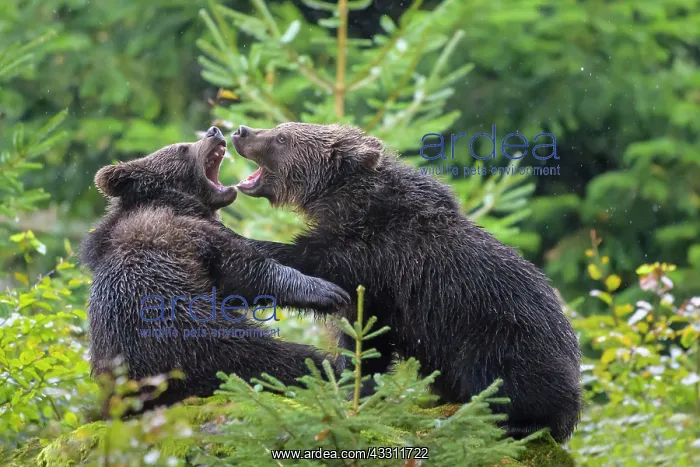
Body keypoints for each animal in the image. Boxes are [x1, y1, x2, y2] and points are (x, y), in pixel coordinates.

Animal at [80, 126, 350, 414]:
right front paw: (326, 291)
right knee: (267, 356)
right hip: (194, 335)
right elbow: (244, 269)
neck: (178, 202)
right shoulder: (182, 235)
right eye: (182, 148)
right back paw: (330, 368)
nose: (213, 130)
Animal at [230, 122, 582, 442]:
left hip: (503, 333)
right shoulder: (377, 290)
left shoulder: (373, 256)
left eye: (281, 137)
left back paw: (518, 424)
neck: (349, 204)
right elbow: (365, 340)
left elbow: (306, 260)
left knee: (509, 381)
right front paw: (352, 382)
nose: (241, 131)